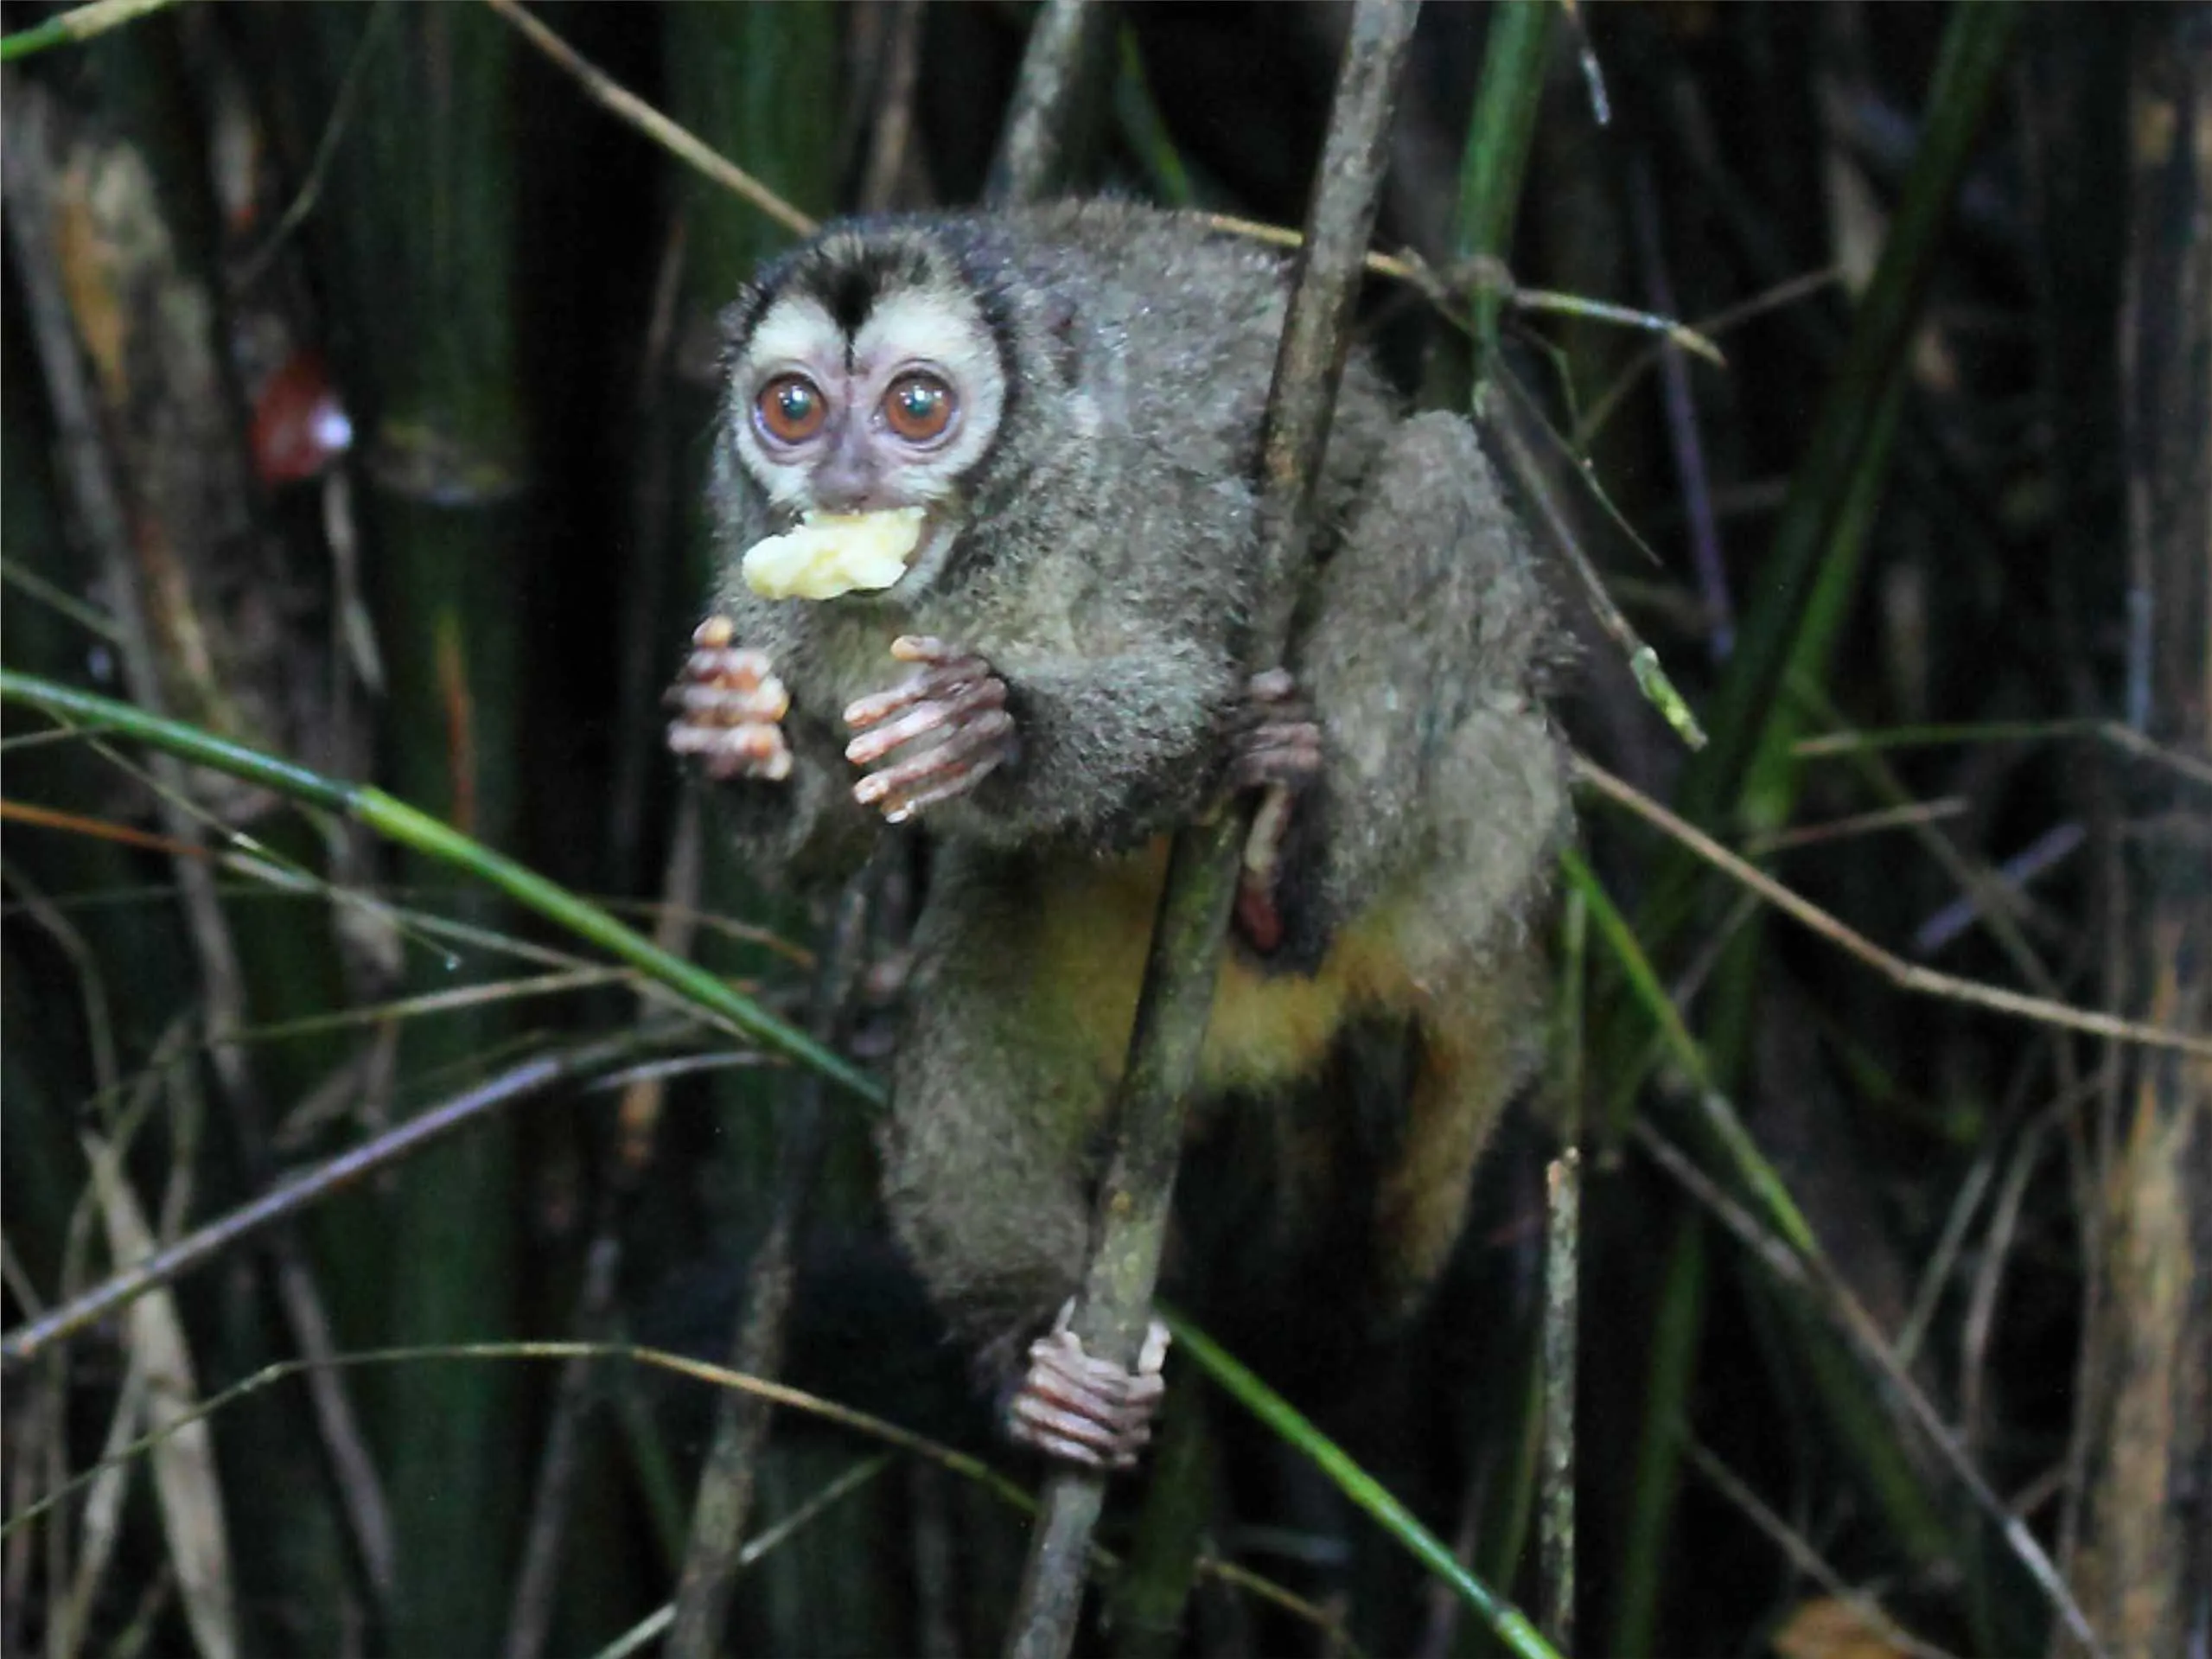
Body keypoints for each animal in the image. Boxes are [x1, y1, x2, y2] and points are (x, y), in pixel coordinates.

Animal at [667, 200, 1568, 1471]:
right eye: (792, 407)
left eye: (915, 405)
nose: (844, 480)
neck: (957, 577)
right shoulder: (757, 596)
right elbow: (824, 852)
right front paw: (729, 732)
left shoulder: (1150, 513)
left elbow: (1200, 700)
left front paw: (992, 728)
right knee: (982, 940)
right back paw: (1040, 1368)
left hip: (1490, 821)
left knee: (1438, 463)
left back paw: (1289, 867)